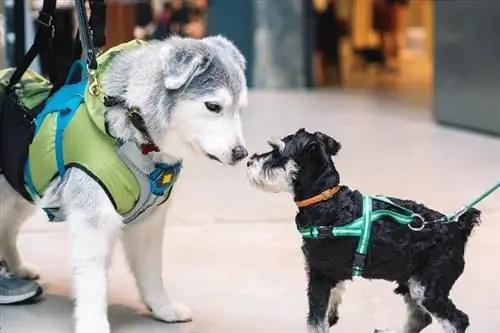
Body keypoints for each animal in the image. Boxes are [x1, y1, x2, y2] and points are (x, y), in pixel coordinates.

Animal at [0, 35, 249, 330]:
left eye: (239, 108)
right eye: (213, 106)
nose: (241, 153)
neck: (137, 136)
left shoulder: (149, 222)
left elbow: (151, 271)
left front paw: (162, 308)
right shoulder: (93, 222)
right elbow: (93, 281)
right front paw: (93, 324)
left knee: (7, 229)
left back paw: (17, 267)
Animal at [246, 127, 480, 332]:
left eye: (277, 152)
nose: (249, 160)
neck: (326, 201)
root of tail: (458, 225)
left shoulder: (319, 275)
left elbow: (315, 321)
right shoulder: (332, 274)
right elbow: (331, 306)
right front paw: (332, 317)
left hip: (427, 287)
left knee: (457, 320)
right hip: (411, 282)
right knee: (420, 318)